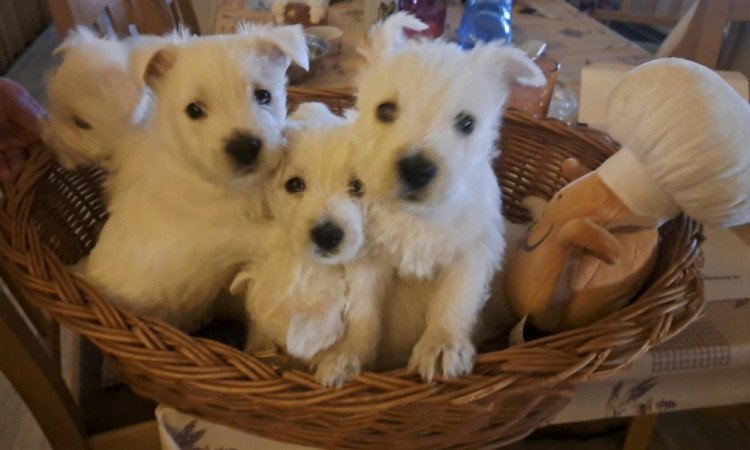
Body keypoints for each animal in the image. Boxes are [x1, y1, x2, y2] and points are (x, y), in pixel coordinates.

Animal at [232, 103, 390, 388]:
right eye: (294, 184)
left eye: (358, 186)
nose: (327, 235)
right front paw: (260, 348)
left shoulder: (370, 265)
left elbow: (363, 313)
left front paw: (341, 362)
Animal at [356, 14, 548, 380]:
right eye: (385, 110)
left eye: (467, 123)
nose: (416, 169)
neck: (418, 217)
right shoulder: (372, 258)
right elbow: (364, 310)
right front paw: (344, 357)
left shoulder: (472, 252)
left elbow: (454, 300)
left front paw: (442, 347)